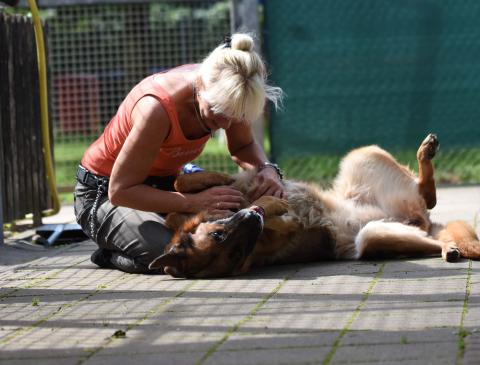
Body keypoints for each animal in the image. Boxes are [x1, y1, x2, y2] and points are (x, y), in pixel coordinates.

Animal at [150, 132, 480, 278]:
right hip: (375, 237)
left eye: (219, 234)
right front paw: (269, 206)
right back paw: (448, 248)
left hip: (362, 155)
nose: (254, 220)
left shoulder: (240, 185)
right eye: (235, 253)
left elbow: (180, 187)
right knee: (431, 226)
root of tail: (419, 219)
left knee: (428, 195)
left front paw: (216, 179)